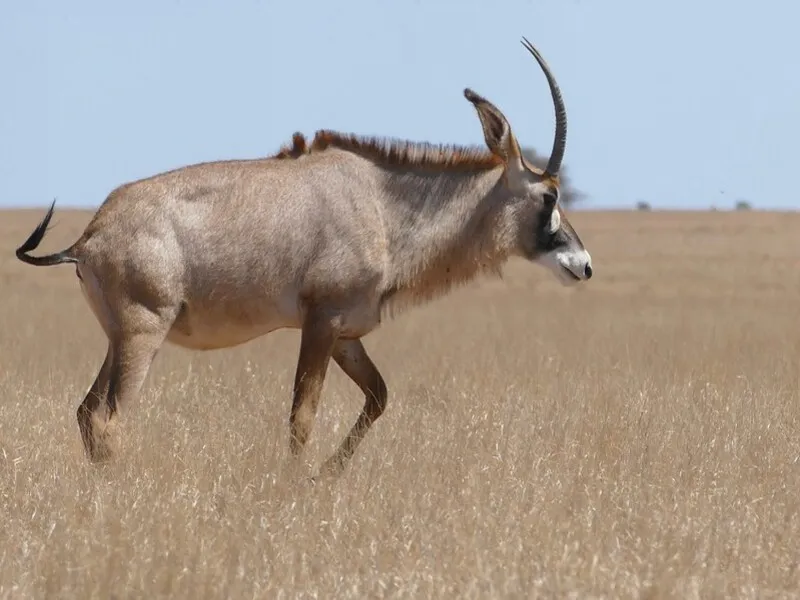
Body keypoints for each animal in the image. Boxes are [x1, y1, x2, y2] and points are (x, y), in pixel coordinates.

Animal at [15, 37, 592, 478]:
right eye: (550, 196)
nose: (583, 264)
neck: (380, 204)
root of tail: (91, 235)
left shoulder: (345, 333)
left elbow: (378, 396)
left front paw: (327, 476)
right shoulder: (320, 322)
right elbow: (302, 416)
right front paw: (298, 485)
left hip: (118, 339)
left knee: (87, 412)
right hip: (143, 334)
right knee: (109, 419)